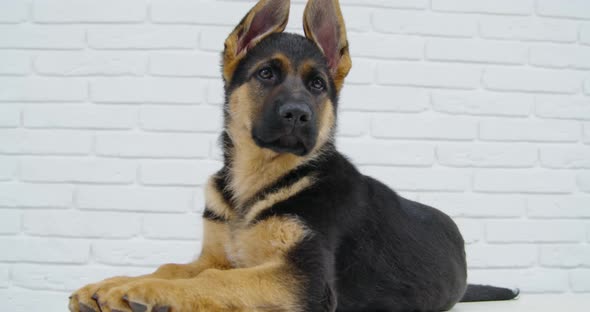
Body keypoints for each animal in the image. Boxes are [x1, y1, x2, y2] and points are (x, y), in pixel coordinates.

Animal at [70, 1, 524, 310]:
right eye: (266, 73)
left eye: (318, 85)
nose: (298, 115)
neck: (255, 183)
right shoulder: (217, 253)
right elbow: (176, 266)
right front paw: (110, 284)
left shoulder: (306, 279)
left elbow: (215, 281)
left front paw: (144, 290)